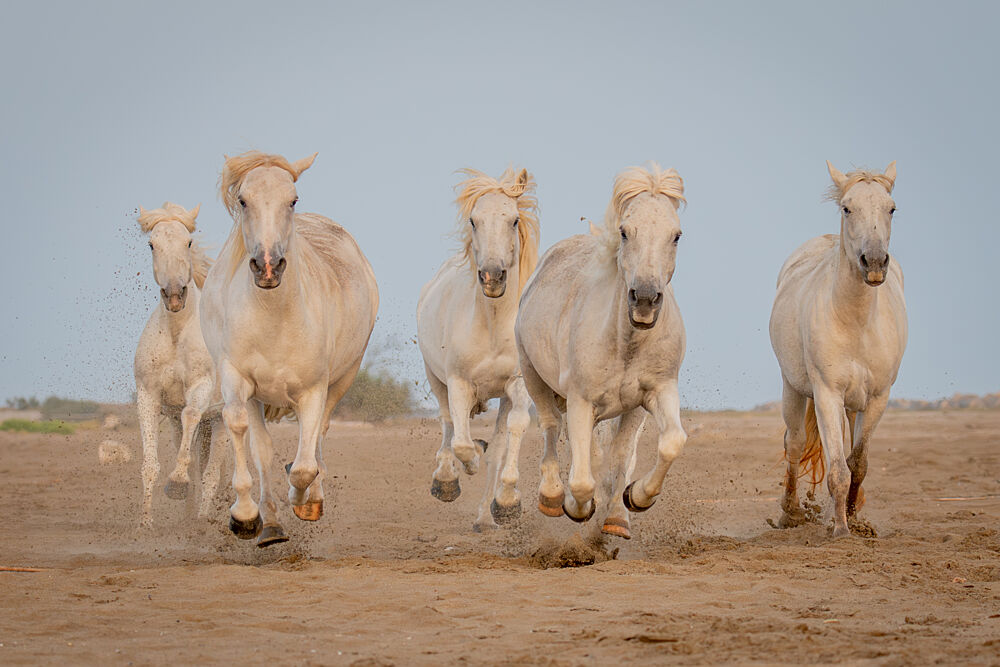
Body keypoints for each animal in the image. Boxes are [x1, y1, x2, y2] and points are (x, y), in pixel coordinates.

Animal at [133, 202, 227, 526]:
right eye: (152, 244)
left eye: (188, 242)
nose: (174, 296)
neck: (176, 332)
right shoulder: (148, 396)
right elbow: (150, 464)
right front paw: (145, 523)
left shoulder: (200, 388)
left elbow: (190, 415)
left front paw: (176, 484)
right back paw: (190, 519)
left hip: (225, 418)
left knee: (213, 474)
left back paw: (204, 521)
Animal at [200, 151, 379, 547]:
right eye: (243, 200)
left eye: (293, 200)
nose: (268, 266)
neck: (274, 316)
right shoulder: (237, 379)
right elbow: (244, 434)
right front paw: (246, 517)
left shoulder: (313, 389)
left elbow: (303, 467)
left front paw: (305, 501)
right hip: (256, 396)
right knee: (263, 452)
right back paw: (269, 523)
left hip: (343, 377)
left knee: (317, 438)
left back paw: (309, 498)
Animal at [416, 167, 539, 531]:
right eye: (473, 220)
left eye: (514, 220)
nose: (493, 276)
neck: (493, 324)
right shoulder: (459, 382)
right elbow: (461, 441)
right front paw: (461, 469)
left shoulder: (517, 384)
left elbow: (513, 432)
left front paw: (508, 502)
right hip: (435, 378)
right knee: (448, 423)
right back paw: (445, 479)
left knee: (496, 446)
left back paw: (485, 517)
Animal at [515, 164, 688, 539]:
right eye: (624, 232)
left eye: (676, 235)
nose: (645, 299)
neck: (625, 341)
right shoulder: (581, 401)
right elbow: (582, 480)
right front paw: (576, 507)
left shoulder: (656, 393)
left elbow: (665, 445)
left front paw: (633, 501)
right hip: (534, 376)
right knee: (551, 427)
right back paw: (552, 496)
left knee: (608, 454)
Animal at [769, 161, 906, 538]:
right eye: (847, 208)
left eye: (891, 208)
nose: (873, 262)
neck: (856, 321)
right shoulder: (827, 393)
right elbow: (837, 468)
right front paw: (841, 531)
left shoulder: (877, 399)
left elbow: (856, 463)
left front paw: (853, 520)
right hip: (794, 388)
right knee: (795, 443)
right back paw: (790, 514)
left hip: (853, 405)